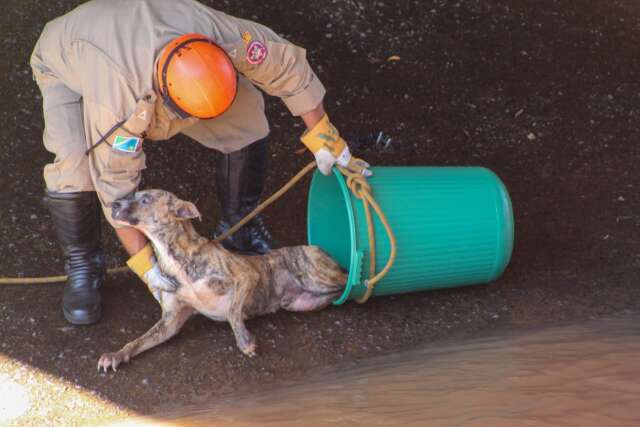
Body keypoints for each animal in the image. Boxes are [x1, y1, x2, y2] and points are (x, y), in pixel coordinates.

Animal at [99, 190, 350, 372]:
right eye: (133, 194)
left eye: (145, 199)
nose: (113, 204)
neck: (175, 258)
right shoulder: (170, 322)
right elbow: (136, 341)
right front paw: (116, 355)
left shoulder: (245, 275)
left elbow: (232, 311)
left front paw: (245, 341)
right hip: (304, 301)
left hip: (314, 276)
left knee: (350, 277)